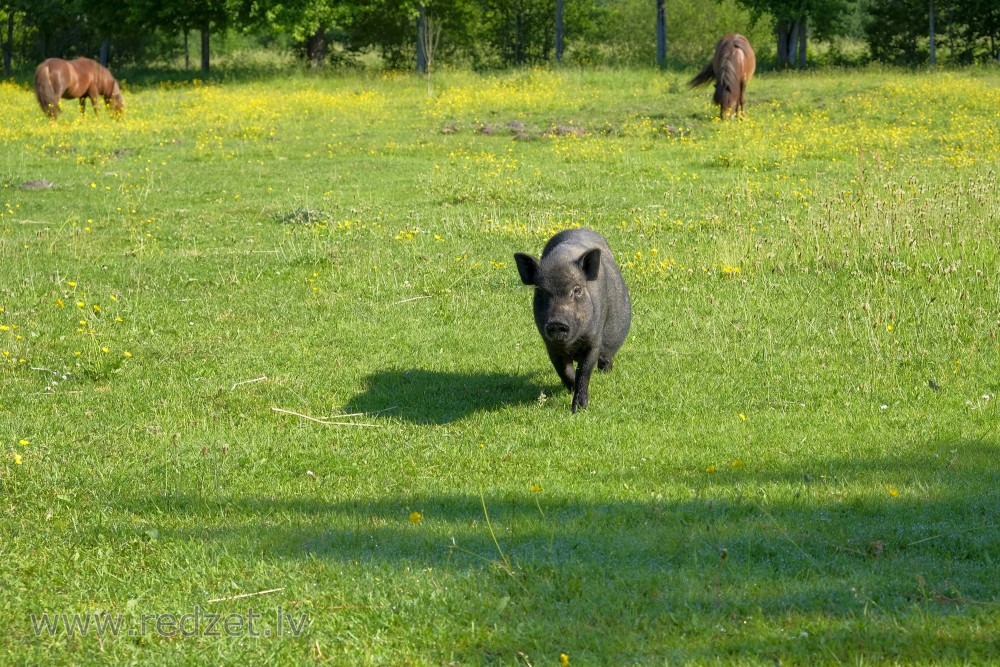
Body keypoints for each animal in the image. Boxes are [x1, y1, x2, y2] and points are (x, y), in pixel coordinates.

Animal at [516, 230, 632, 412]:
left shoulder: (594, 342)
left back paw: (606, 371)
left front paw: (579, 409)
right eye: (540, 291)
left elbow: (584, 372)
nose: (557, 322)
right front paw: (570, 392)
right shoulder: (550, 346)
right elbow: (565, 371)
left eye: (576, 290)